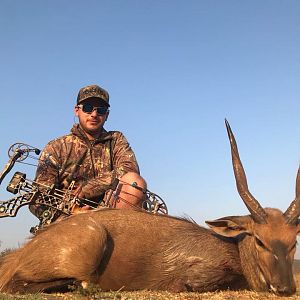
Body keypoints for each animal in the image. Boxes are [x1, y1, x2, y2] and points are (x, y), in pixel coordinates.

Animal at [0, 120, 300, 296]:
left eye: (293, 242)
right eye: (260, 240)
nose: (285, 288)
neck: (233, 249)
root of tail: (20, 253)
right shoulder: (196, 279)